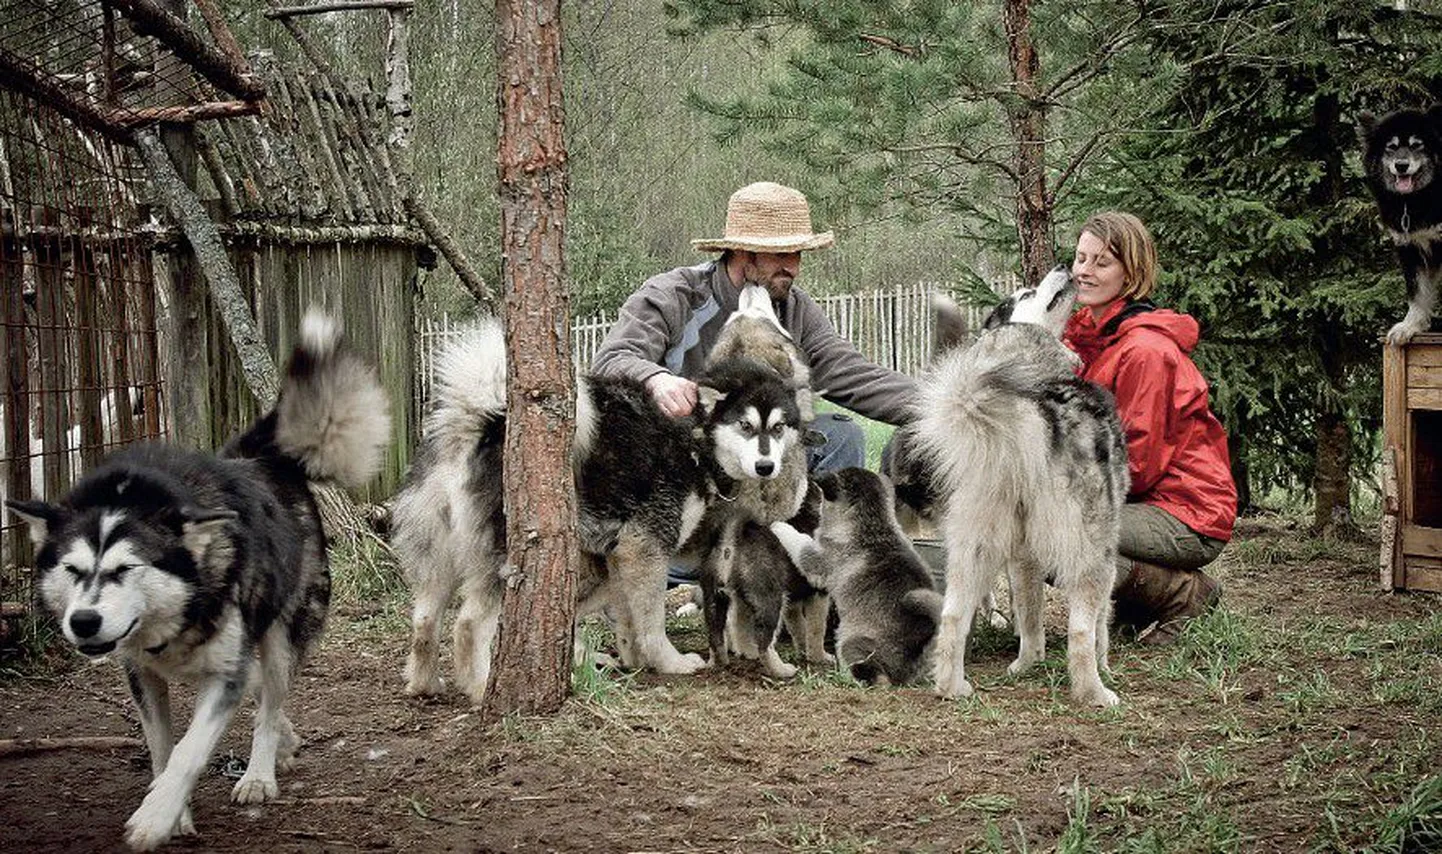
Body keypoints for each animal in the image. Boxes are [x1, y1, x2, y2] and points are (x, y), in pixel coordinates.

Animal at [7, 311, 389, 848]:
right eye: (73, 570)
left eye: (126, 568)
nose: (83, 622)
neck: (180, 614)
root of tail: (257, 458)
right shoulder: (141, 675)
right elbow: (162, 750)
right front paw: (175, 813)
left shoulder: (224, 676)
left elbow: (189, 751)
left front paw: (155, 817)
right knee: (264, 697)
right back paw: (286, 742)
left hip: (280, 637)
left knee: (269, 701)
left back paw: (259, 774)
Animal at [911, 268, 1124, 706]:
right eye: (1026, 293)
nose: (1064, 266)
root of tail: (1031, 413)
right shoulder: (1108, 551)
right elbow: (1100, 627)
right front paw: (1106, 665)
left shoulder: (1024, 558)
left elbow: (1030, 617)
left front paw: (1027, 665)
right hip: (1090, 553)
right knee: (1080, 631)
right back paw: (1095, 693)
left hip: (972, 549)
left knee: (952, 617)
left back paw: (952, 687)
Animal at [1361, 105, 1442, 344]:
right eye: (1391, 147)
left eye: (1417, 145)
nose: (1401, 165)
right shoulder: (1410, 248)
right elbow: (1417, 292)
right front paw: (1410, 326)